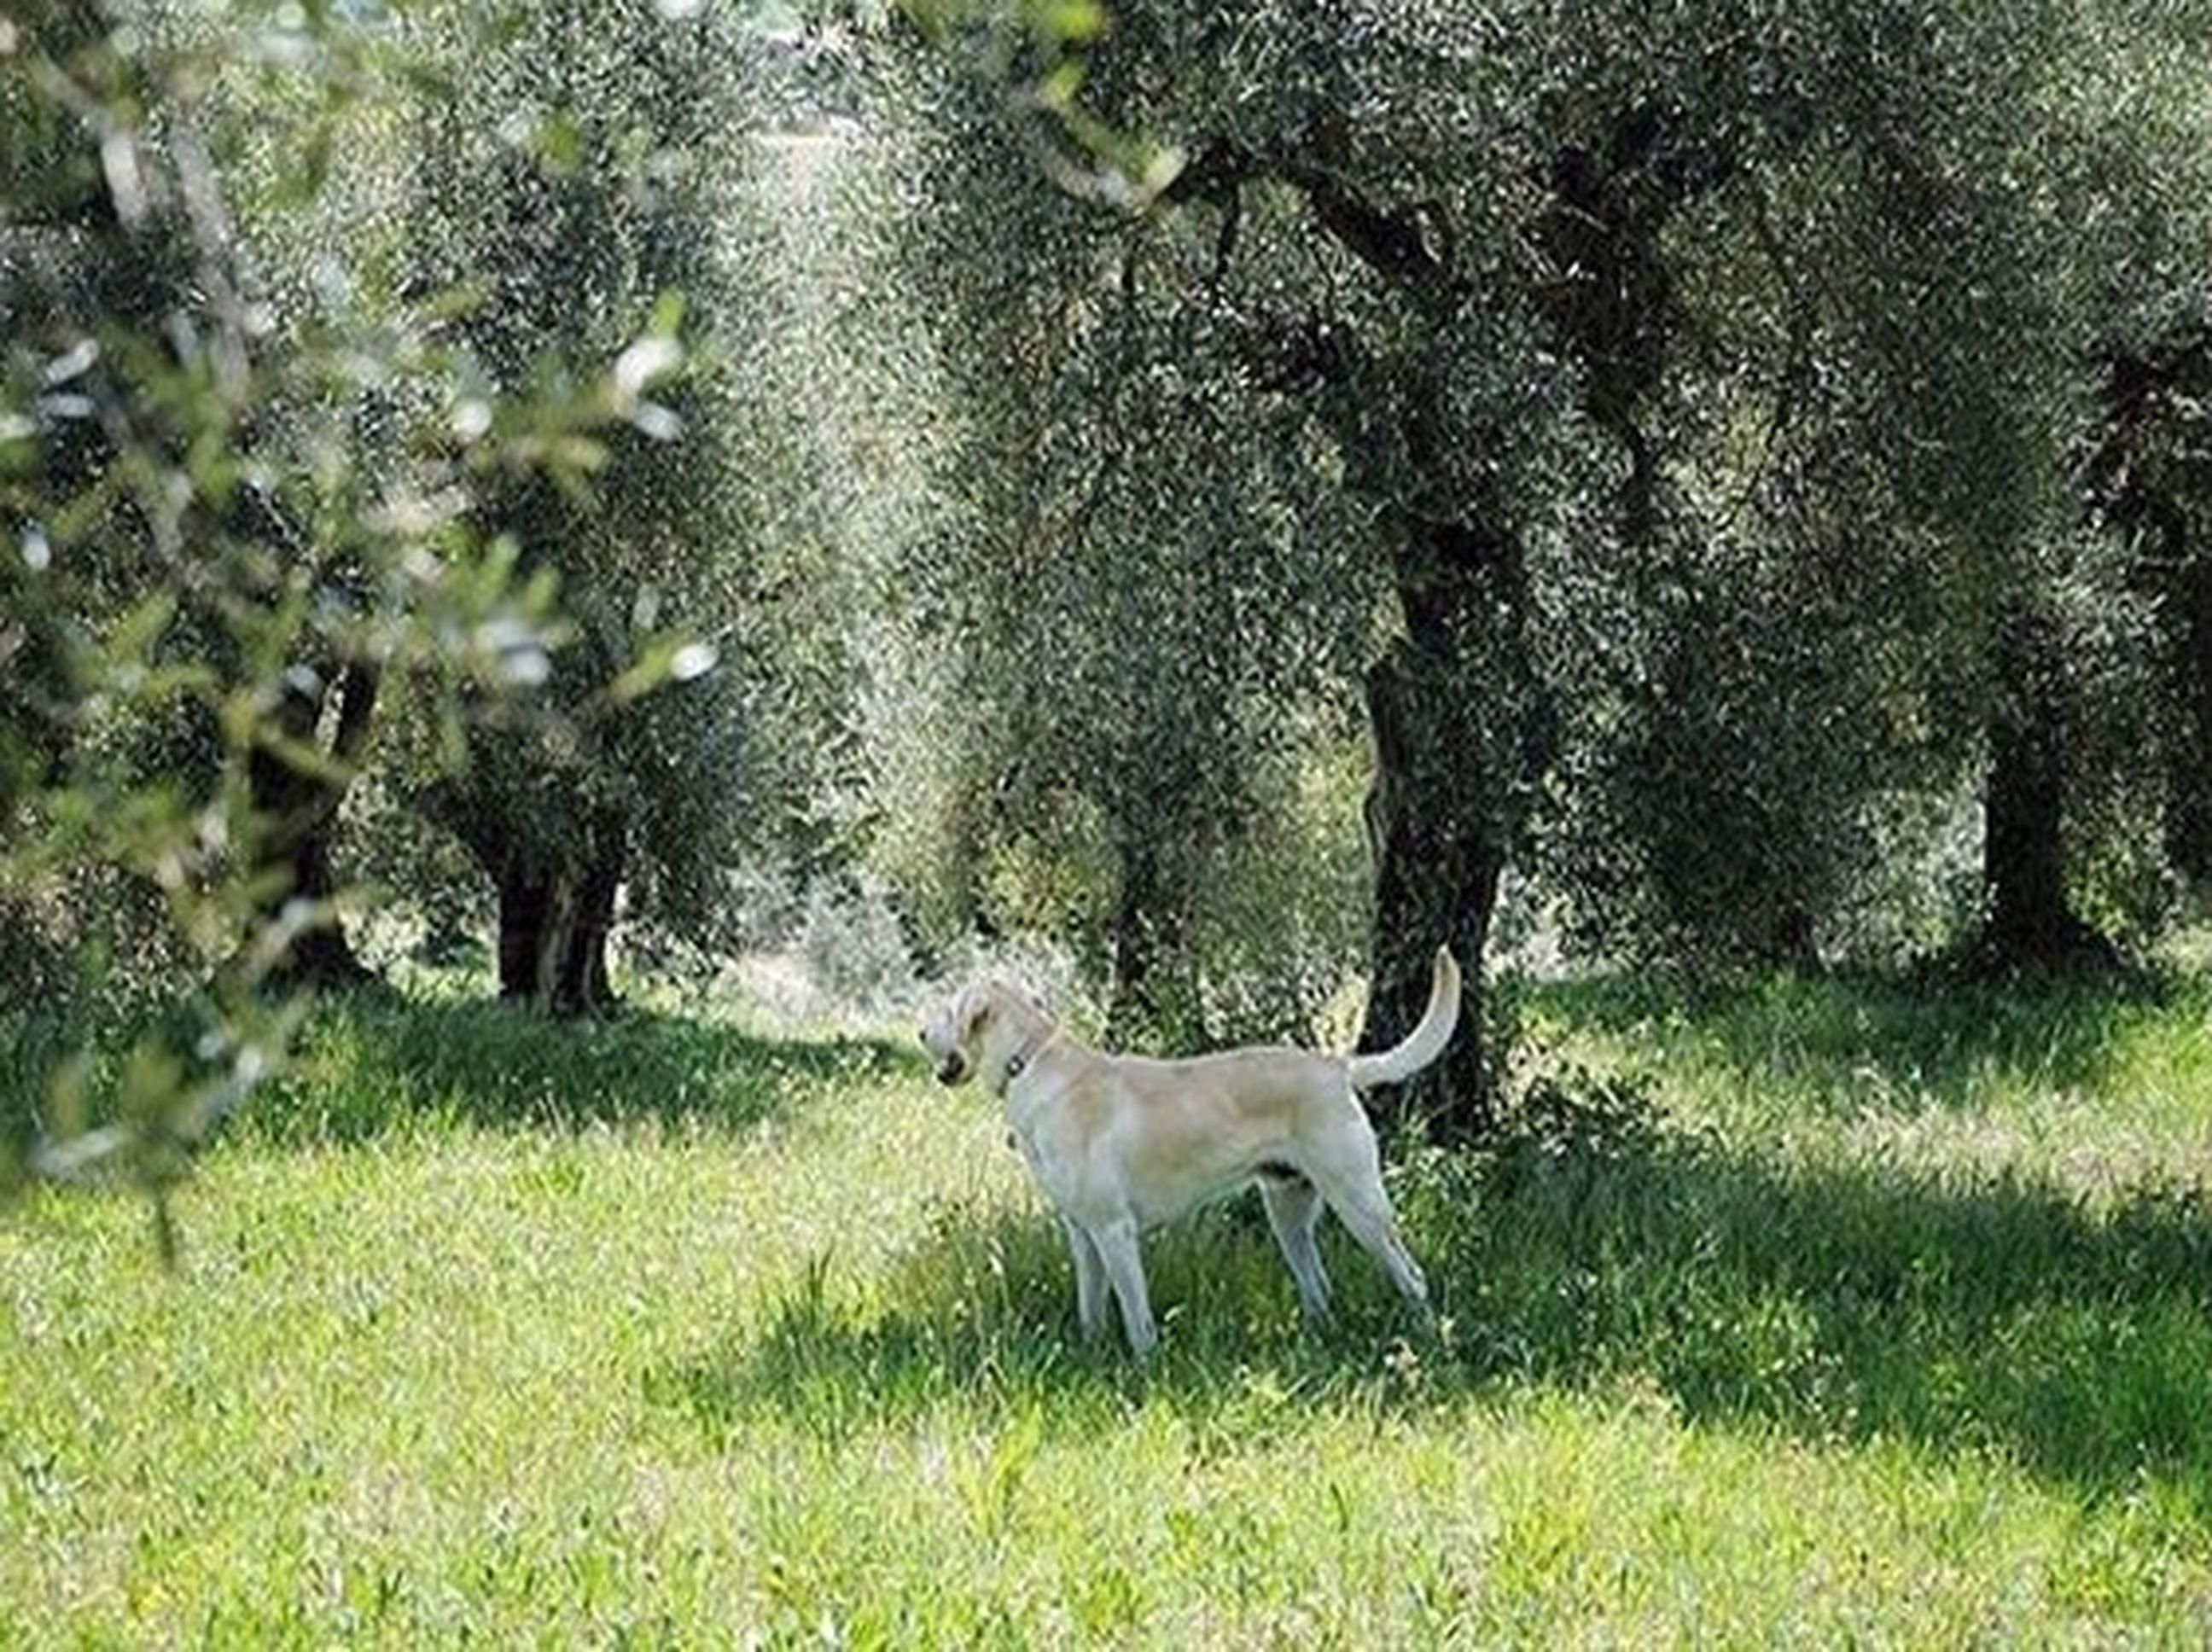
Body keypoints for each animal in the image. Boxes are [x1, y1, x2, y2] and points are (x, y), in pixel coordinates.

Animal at [916, 942, 1451, 1353]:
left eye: (949, 1010)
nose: (920, 1032)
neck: (1028, 1064)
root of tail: (1336, 1067)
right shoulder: (1082, 1233)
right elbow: (1091, 1306)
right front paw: (1091, 1354)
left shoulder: (1113, 1231)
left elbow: (1136, 1314)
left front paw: (1145, 1369)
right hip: (1289, 1215)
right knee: (1319, 1286)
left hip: (1360, 1207)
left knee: (1413, 1277)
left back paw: (1428, 1340)